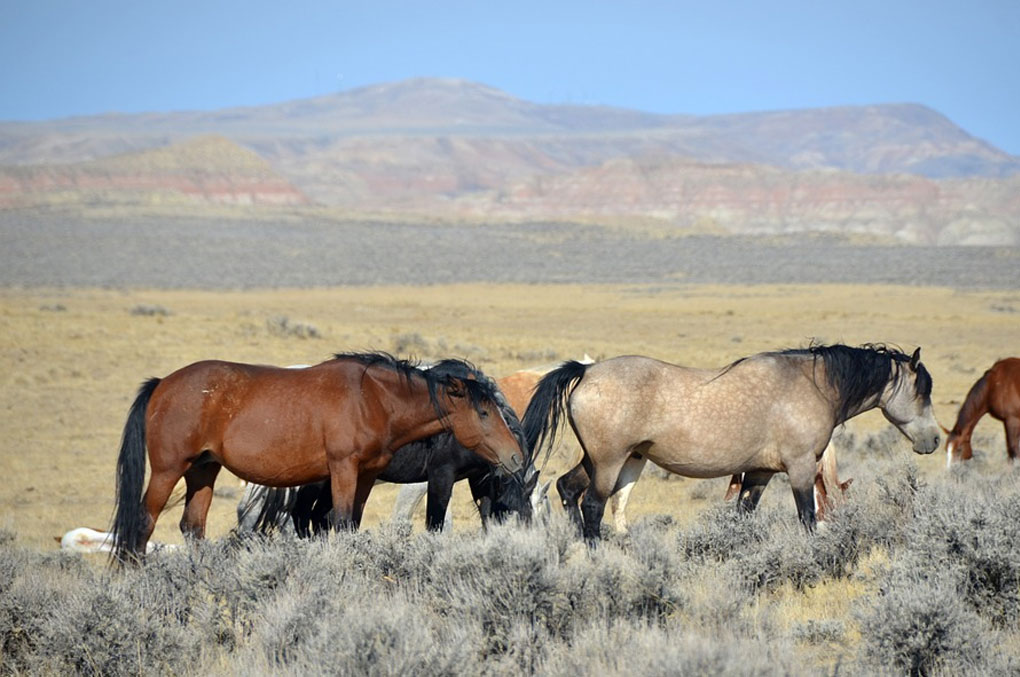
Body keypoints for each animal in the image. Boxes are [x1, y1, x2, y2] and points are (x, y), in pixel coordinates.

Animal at [526, 344, 938, 538]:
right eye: (923, 389)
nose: (933, 440)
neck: (812, 385)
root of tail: (587, 371)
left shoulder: (759, 474)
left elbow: (743, 517)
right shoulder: (801, 468)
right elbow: (808, 517)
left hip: (600, 460)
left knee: (567, 488)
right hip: (610, 462)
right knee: (593, 505)